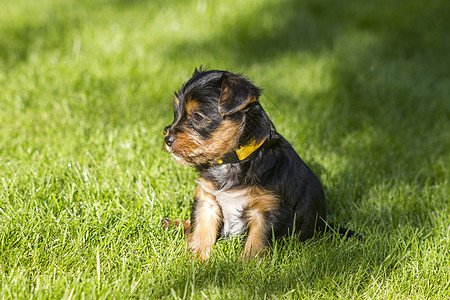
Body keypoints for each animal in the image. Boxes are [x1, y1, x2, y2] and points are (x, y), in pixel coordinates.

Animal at [162, 68, 356, 260]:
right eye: (176, 113)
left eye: (197, 116)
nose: (167, 139)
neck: (232, 160)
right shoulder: (206, 200)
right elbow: (200, 231)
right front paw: (194, 259)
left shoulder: (266, 210)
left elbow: (256, 243)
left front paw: (248, 266)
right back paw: (175, 223)